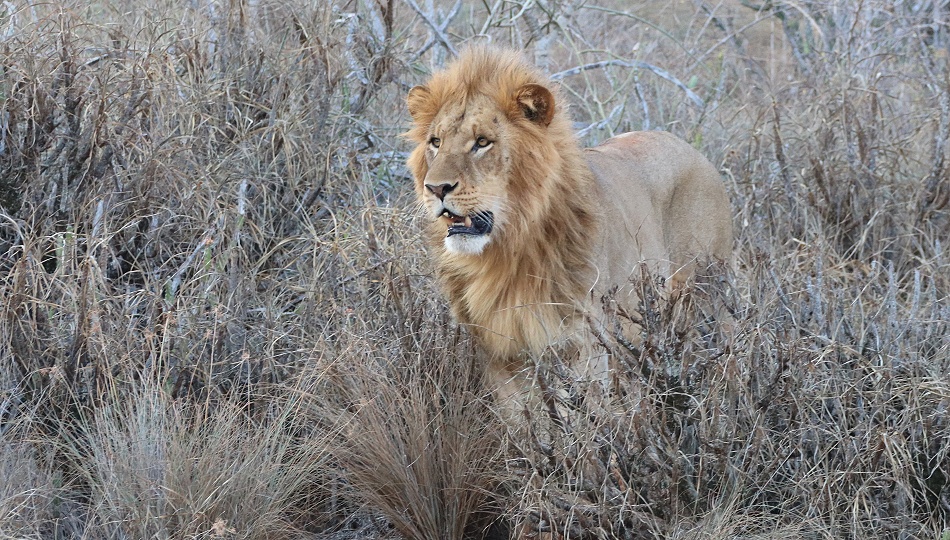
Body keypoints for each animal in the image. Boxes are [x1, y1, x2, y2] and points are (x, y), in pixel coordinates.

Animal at [406, 46, 732, 414]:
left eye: (482, 142)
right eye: (435, 142)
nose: (436, 188)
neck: (506, 255)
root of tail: (688, 147)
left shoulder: (585, 344)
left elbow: (585, 421)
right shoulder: (499, 353)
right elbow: (524, 423)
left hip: (710, 298)